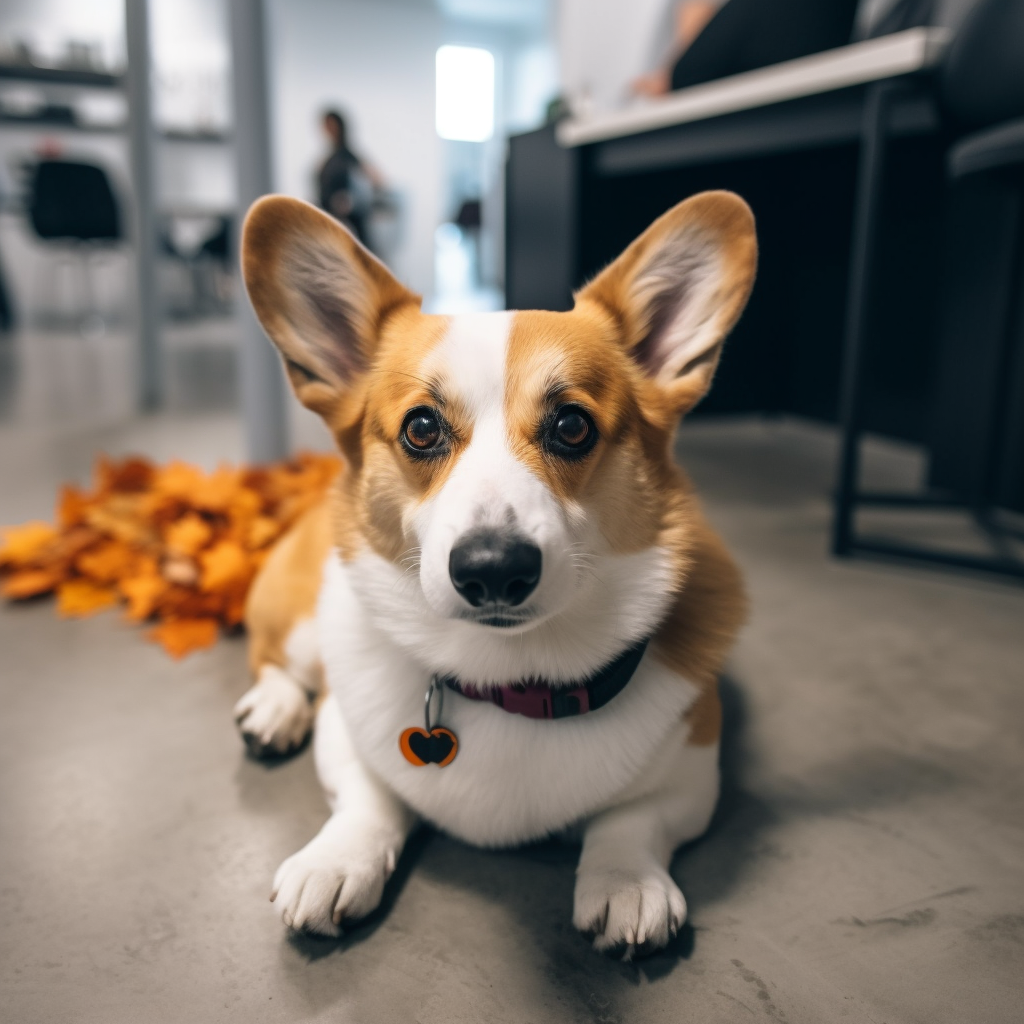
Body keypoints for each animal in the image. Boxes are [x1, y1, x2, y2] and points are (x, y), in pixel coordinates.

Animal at [235, 188, 757, 954]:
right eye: (422, 428)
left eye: (572, 426)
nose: (492, 570)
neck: (509, 678)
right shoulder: (344, 729)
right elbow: (368, 796)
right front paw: (336, 861)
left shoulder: (693, 768)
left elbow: (633, 821)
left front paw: (627, 883)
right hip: (302, 622)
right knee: (275, 659)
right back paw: (273, 710)